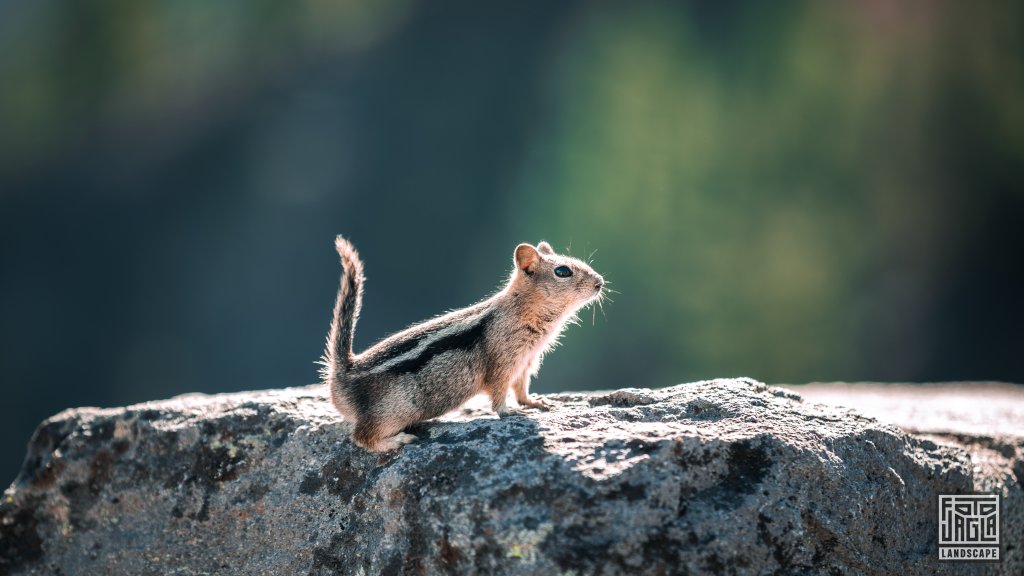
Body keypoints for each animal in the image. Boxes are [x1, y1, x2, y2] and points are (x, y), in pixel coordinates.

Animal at [319, 235, 602, 450]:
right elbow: (499, 390)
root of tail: (343, 371)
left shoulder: (526, 361)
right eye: (563, 271)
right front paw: (509, 412)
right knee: (361, 437)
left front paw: (533, 402)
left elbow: (521, 387)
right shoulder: (502, 361)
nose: (600, 282)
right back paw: (396, 441)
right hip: (393, 411)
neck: (522, 310)